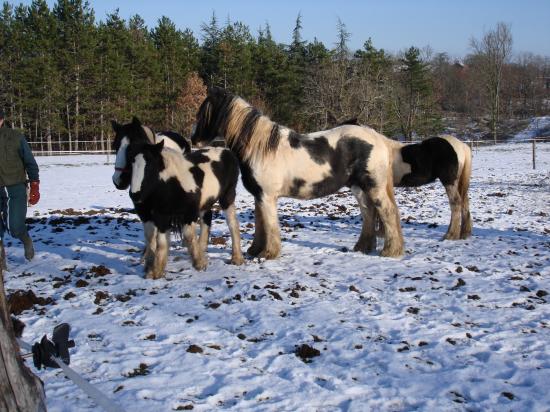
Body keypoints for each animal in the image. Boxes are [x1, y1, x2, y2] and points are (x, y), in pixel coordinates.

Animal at [111, 117, 243, 278]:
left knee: (232, 224)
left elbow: (188, 235)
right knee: (207, 221)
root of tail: (225, 151)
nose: (119, 181)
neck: (167, 183)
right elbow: (155, 239)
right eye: (116, 146)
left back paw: (236, 258)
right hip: (205, 202)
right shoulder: (154, 215)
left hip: (227, 197)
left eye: (150, 165)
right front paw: (153, 270)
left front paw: (199, 263)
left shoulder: (188, 213)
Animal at [191, 87, 406, 258]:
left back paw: (391, 251)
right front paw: (255, 250)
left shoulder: (267, 196)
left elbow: (270, 226)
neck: (260, 148)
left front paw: (269, 254)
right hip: (358, 187)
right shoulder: (259, 196)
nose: (194, 140)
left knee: (387, 212)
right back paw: (363, 247)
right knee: (369, 212)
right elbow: (261, 224)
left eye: (204, 114)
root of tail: (377, 137)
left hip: (374, 186)